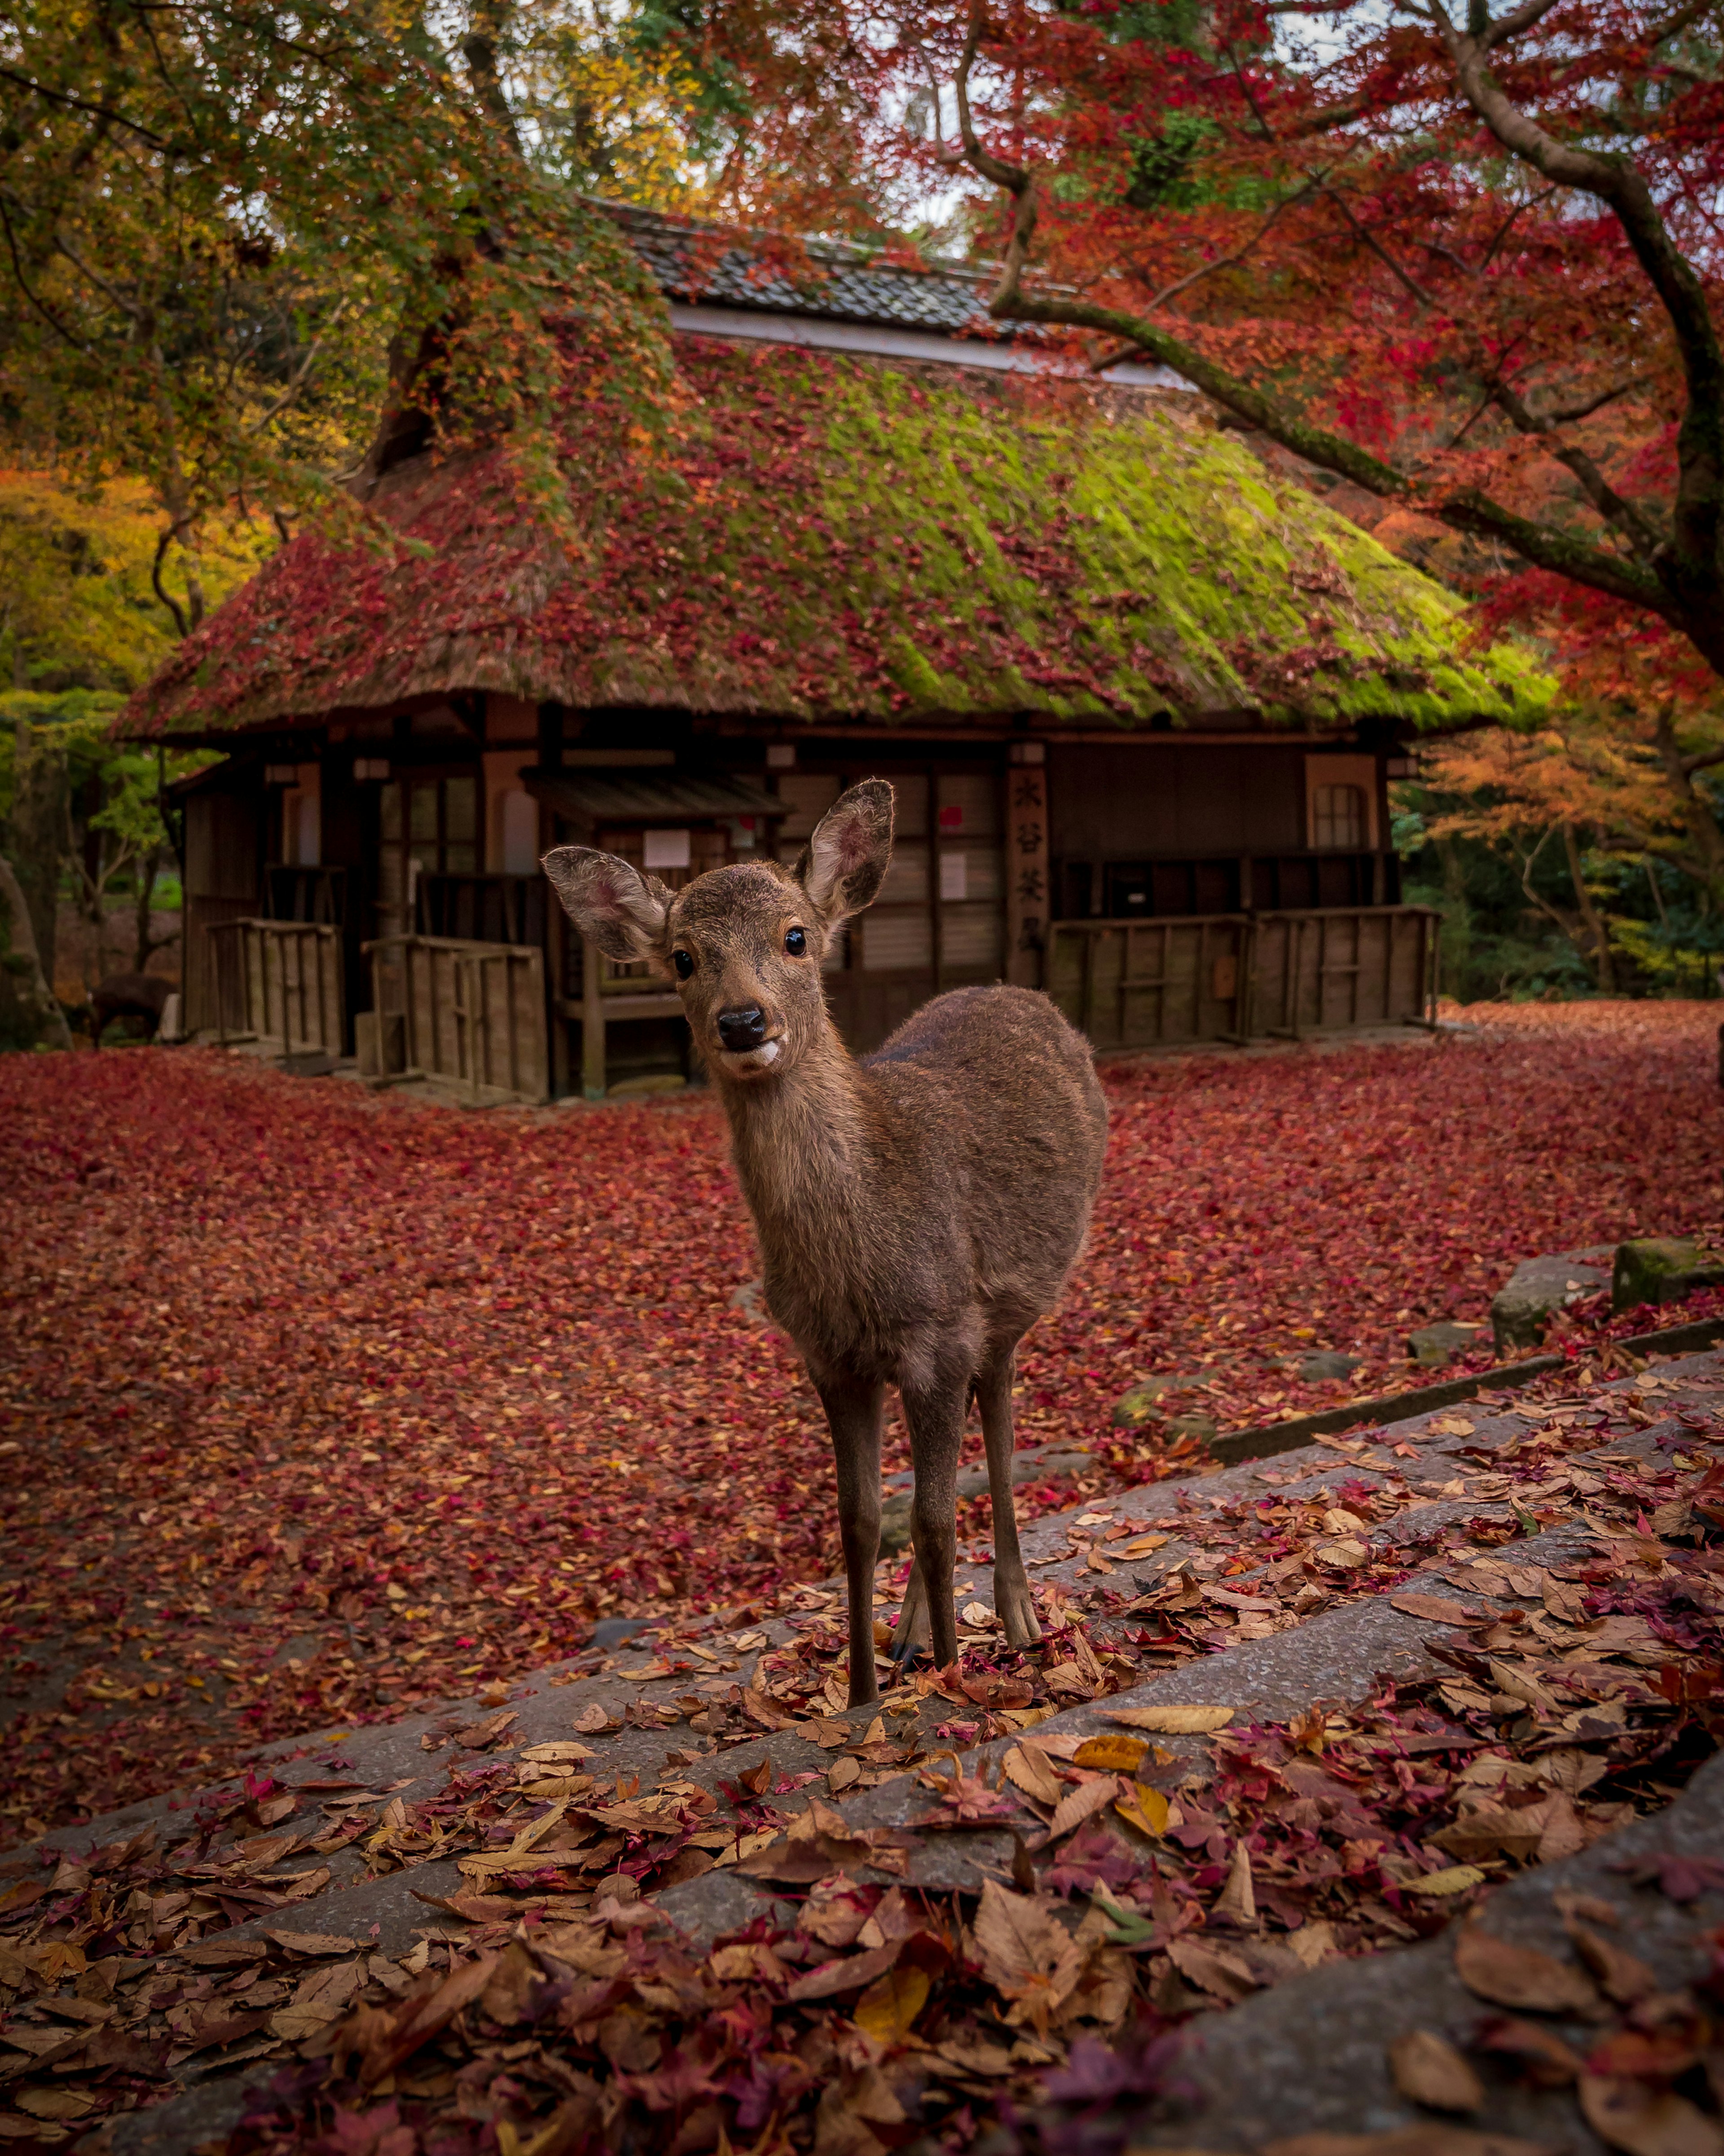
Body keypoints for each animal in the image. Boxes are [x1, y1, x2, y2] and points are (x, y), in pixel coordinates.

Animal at [545, 776, 1112, 1699]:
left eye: (796, 936)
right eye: (683, 958)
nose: (744, 1021)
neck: (861, 1257)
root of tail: (1018, 991)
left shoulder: (939, 1327)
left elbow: (933, 1518)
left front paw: (951, 1680)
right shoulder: (829, 1354)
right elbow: (859, 1521)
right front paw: (863, 1689)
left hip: (1010, 1305)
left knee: (997, 1418)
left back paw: (1020, 1618)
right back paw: (914, 1632)